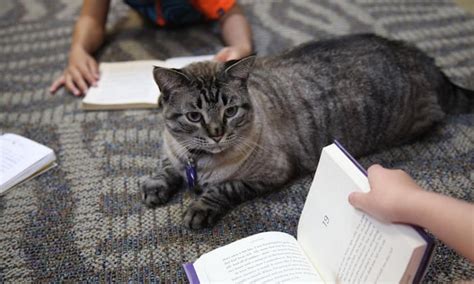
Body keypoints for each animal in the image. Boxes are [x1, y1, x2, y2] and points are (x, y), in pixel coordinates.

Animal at [143, 33, 472, 229]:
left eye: (231, 111)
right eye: (194, 116)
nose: (216, 133)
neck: (199, 162)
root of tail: (425, 59)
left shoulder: (269, 175)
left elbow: (222, 190)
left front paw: (199, 209)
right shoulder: (174, 153)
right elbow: (164, 169)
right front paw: (155, 189)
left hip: (416, 121)